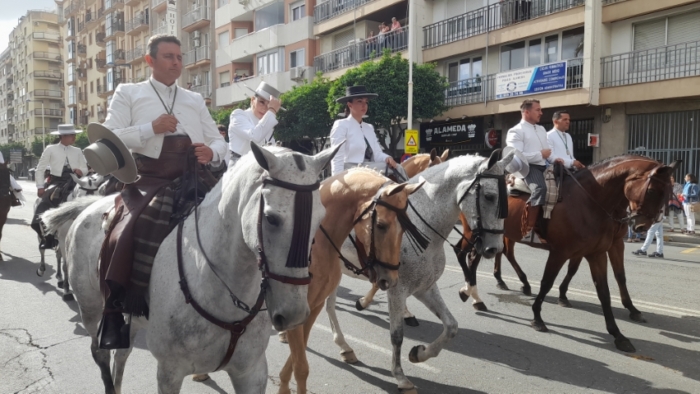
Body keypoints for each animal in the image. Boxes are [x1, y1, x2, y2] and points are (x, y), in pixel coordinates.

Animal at [43, 142, 340, 394]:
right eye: (271, 218)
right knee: (102, 353)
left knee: (122, 353)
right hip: (92, 310)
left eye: (321, 218)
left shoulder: (251, 371)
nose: (294, 315)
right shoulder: (170, 372)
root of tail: (90, 206)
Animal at [276, 167, 424, 394]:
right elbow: (300, 366)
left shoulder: (313, 307)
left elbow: (296, 358)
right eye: (380, 225)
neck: (315, 244)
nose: (390, 280)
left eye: (406, 228)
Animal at [324, 150, 516, 390]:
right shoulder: (397, 290)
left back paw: (344, 346)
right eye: (489, 196)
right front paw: (400, 376)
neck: (422, 229)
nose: (495, 248)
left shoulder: (426, 287)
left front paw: (419, 353)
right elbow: (397, 334)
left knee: (329, 305)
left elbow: (451, 326)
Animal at [456, 155, 676, 352]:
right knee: (467, 255)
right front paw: (538, 317)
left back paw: (501, 285)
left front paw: (619, 332)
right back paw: (476, 295)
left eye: (669, 192)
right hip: (477, 233)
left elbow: (606, 287)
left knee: (496, 254)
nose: (643, 226)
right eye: (653, 190)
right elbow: (547, 282)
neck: (589, 200)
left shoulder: (599, 251)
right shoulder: (561, 251)